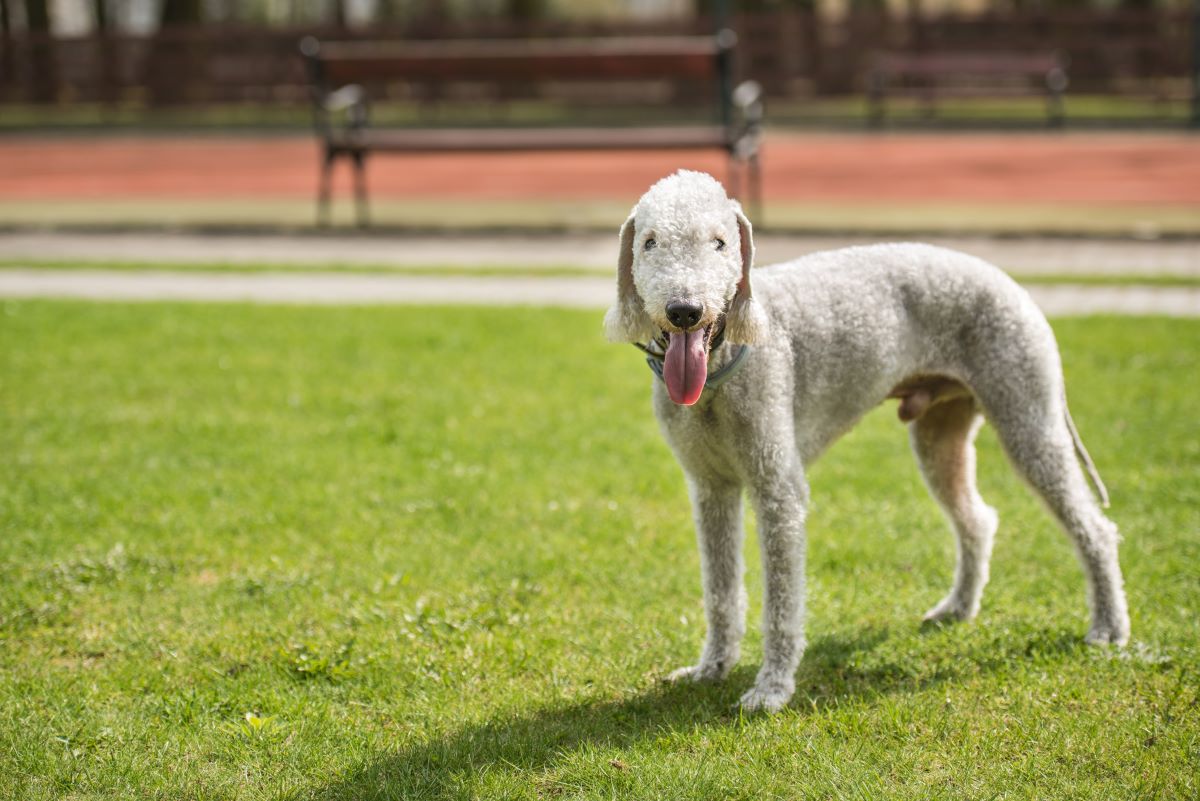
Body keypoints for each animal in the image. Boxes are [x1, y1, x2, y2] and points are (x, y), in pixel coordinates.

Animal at [604, 170, 1128, 714]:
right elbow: (721, 591)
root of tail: (1009, 282)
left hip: (1029, 416)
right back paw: (958, 608)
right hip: (940, 435)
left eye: (720, 243)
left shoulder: (778, 490)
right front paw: (711, 668)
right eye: (649, 242)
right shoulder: (710, 488)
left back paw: (1108, 629)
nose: (684, 310)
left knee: (1095, 529)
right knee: (978, 520)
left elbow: (783, 600)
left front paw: (771, 689)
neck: (721, 365)